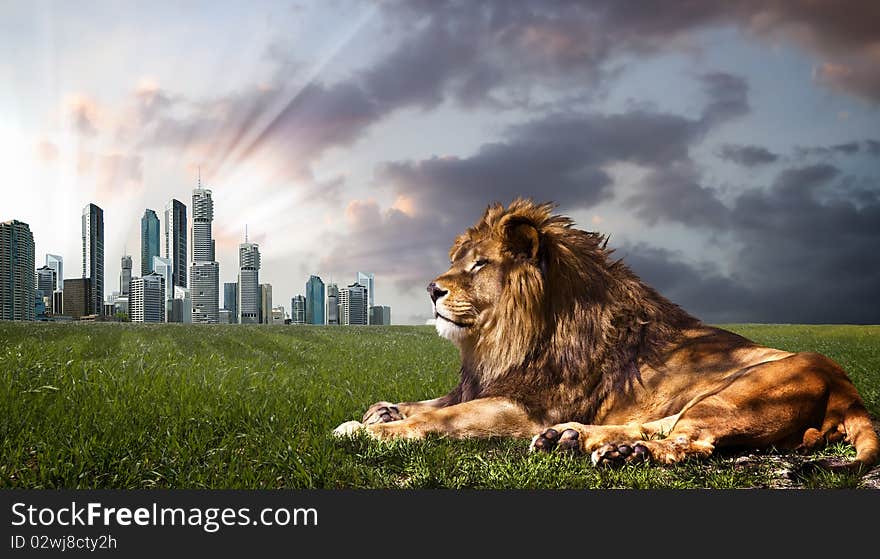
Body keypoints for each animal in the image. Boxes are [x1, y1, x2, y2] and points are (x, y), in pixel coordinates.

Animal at [332, 199, 880, 470]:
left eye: (480, 264)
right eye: (458, 261)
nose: (431, 289)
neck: (504, 338)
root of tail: (849, 392)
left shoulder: (523, 409)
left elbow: (442, 418)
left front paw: (371, 430)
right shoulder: (491, 385)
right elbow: (434, 402)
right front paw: (383, 410)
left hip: (738, 394)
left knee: (689, 443)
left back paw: (617, 452)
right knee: (661, 425)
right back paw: (577, 438)